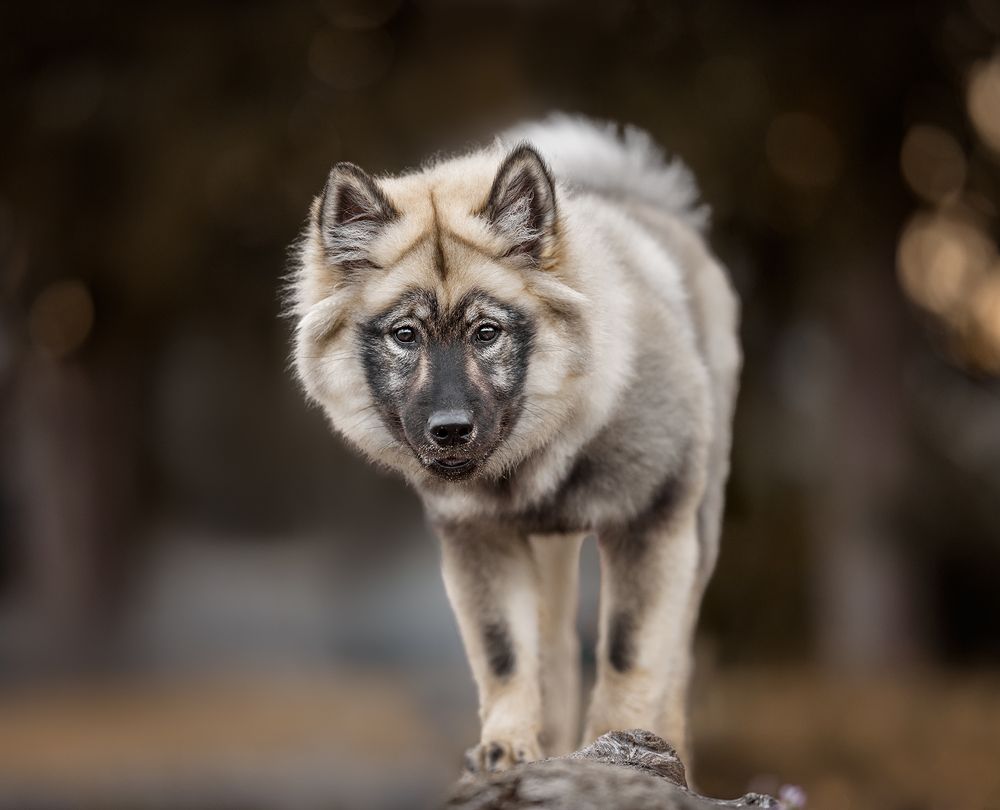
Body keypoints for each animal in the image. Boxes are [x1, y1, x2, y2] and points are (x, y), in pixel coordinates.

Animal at [289, 115, 741, 773]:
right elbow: (506, 655)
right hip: (551, 556)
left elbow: (629, 654)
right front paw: (508, 745)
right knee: (554, 651)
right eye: (405, 334)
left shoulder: (651, 525)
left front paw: (618, 744)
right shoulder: (481, 538)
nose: (450, 428)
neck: (540, 452)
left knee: (674, 660)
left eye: (487, 332)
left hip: (697, 529)